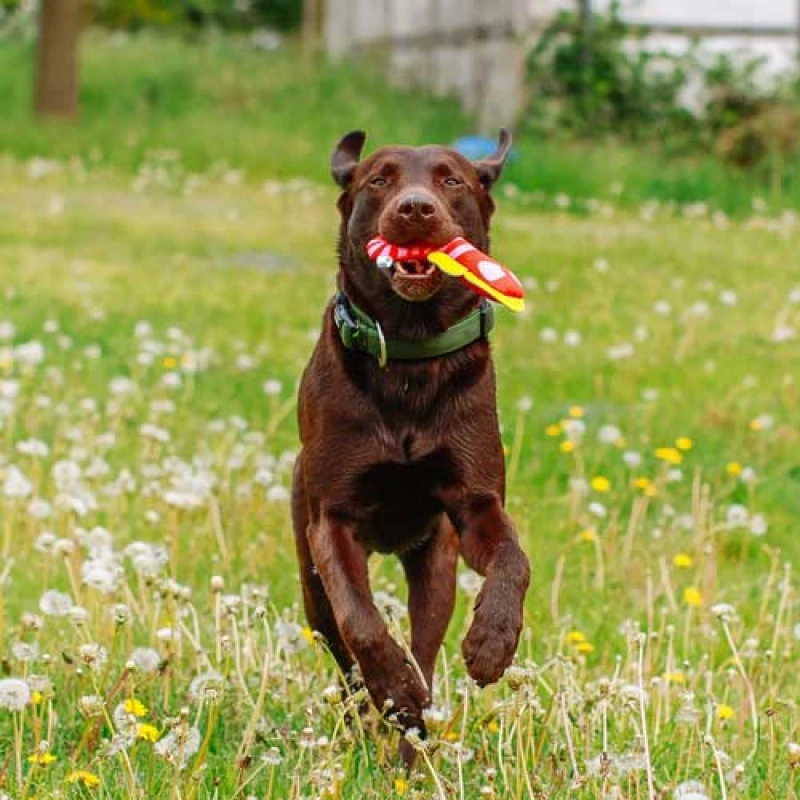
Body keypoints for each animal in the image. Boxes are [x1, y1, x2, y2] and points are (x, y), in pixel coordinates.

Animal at [294, 128, 532, 752]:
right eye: (379, 179)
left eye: (452, 179)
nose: (416, 208)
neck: (410, 355)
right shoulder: (330, 521)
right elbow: (361, 620)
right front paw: (393, 689)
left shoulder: (476, 506)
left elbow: (514, 560)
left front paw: (493, 643)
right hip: (309, 581)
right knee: (343, 652)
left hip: (436, 566)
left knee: (425, 646)